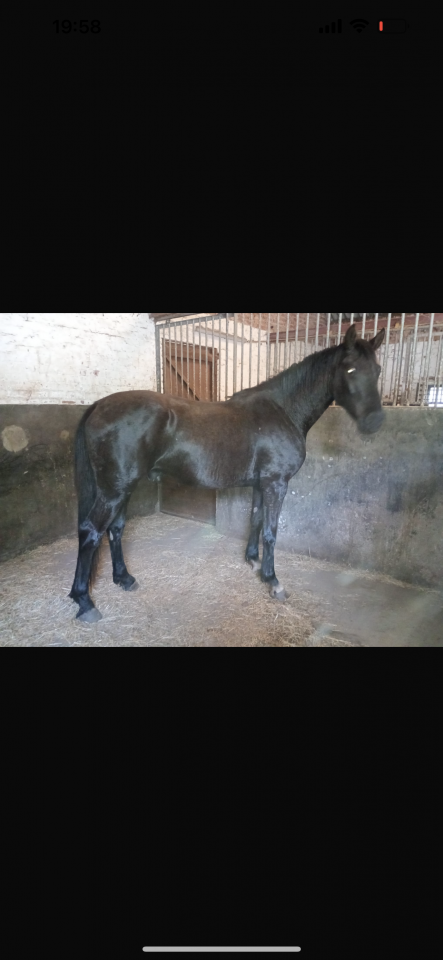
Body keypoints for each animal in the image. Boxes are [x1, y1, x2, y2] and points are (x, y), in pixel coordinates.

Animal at [69, 324, 386, 623]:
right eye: (350, 369)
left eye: (378, 370)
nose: (375, 422)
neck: (282, 411)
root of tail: (98, 405)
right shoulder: (276, 484)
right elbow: (271, 531)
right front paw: (273, 582)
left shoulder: (261, 484)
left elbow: (255, 519)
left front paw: (254, 562)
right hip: (114, 490)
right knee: (91, 531)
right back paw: (85, 602)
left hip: (122, 488)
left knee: (115, 529)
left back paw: (124, 579)